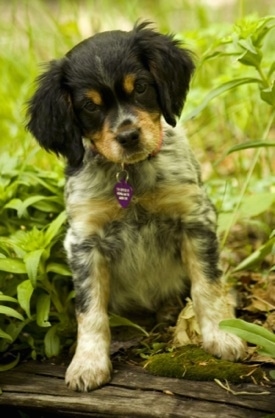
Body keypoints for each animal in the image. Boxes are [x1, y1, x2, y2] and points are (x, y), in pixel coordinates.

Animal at [26, 22, 246, 390]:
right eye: (89, 106)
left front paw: (221, 335)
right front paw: (87, 362)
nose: (128, 136)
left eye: (140, 87)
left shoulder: (195, 218)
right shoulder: (83, 240)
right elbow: (90, 309)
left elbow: (207, 286)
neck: (129, 175)